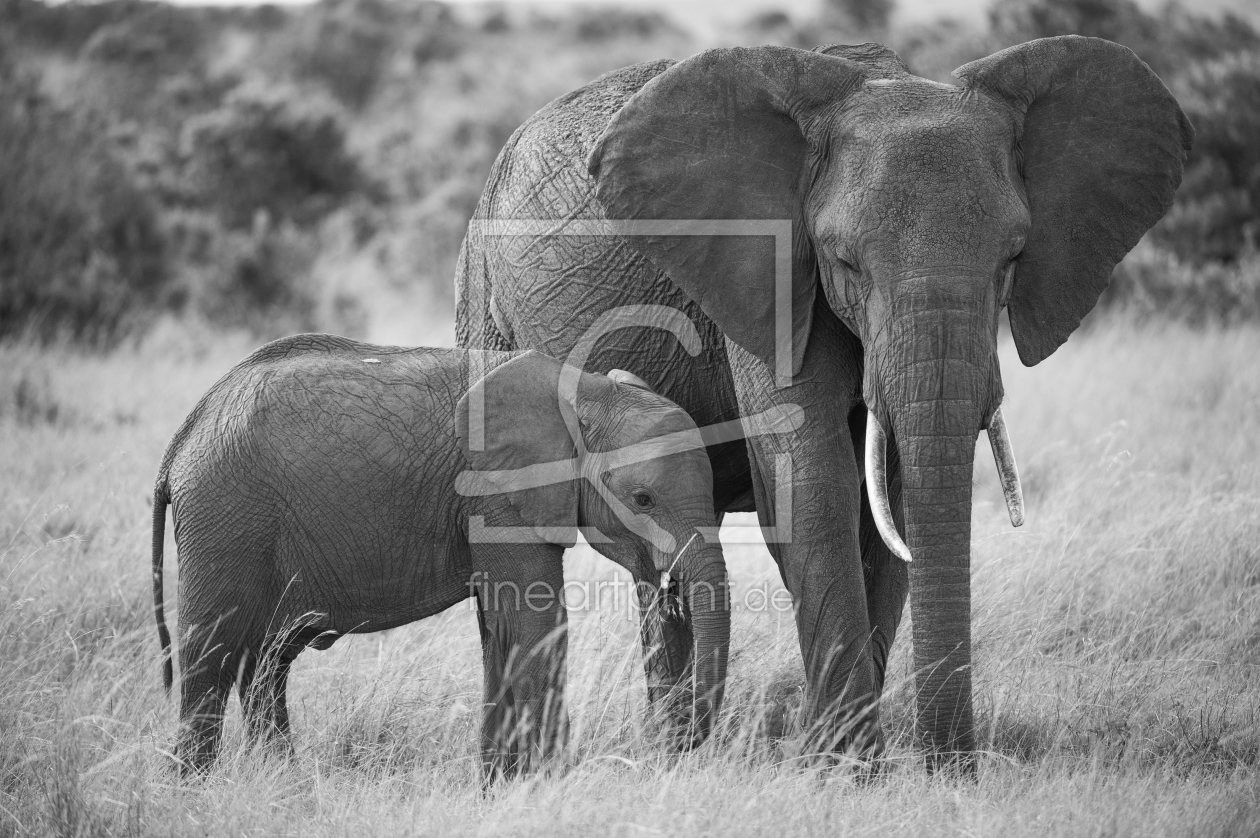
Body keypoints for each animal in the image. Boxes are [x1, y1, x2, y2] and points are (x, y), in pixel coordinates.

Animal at [149, 332, 730, 776]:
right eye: (643, 499)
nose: (680, 744)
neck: (587, 392)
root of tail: (179, 442)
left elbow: (500, 630)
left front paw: (501, 787)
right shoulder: (496, 494)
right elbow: (534, 624)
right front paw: (550, 784)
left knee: (266, 662)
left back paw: (281, 783)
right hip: (223, 513)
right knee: (209, 655)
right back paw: (192, 789)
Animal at [458, 39, 1194, 771]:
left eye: (1013, 259)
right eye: (844, 262)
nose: (951, 766)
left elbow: (891, 501)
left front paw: (852, 761)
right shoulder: (772, 271)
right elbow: (812, 478)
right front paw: (846, 766)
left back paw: (679, 751)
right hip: (481, 294)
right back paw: (677, 752)